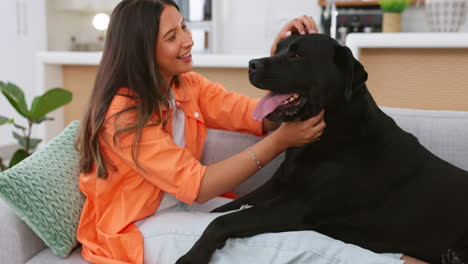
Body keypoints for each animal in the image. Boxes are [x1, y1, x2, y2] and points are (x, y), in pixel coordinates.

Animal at [176, 33, 468, 264]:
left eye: (297, 55)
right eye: (279, 49)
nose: (251, 64)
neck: (332, 130)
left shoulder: (296, 206)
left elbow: (223, 221)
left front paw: (192, 256)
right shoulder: (275, 188)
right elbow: (221, 211)